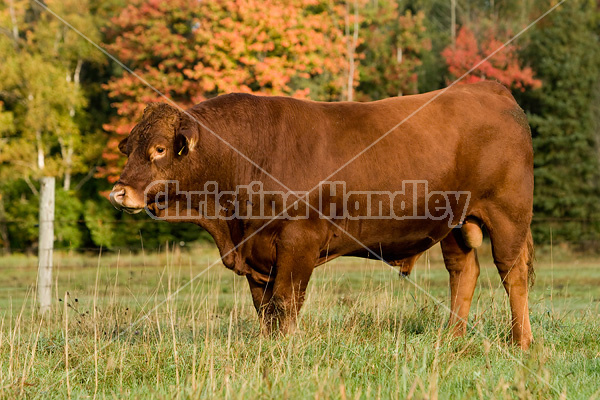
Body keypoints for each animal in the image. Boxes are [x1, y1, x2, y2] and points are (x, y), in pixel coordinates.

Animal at [110, 81, 536, 350]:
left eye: (160, 149)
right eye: (128, 148)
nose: (119, 191)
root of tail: (489, 89)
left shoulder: (298, 241)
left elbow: (285, 301)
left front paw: (285, 348)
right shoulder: (256, 252)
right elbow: (264, 307)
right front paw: (269, 347)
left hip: (508, 213)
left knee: (512, 274)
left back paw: (521, 342)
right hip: (454, 223)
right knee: (464, 272)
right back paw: (451, 339)